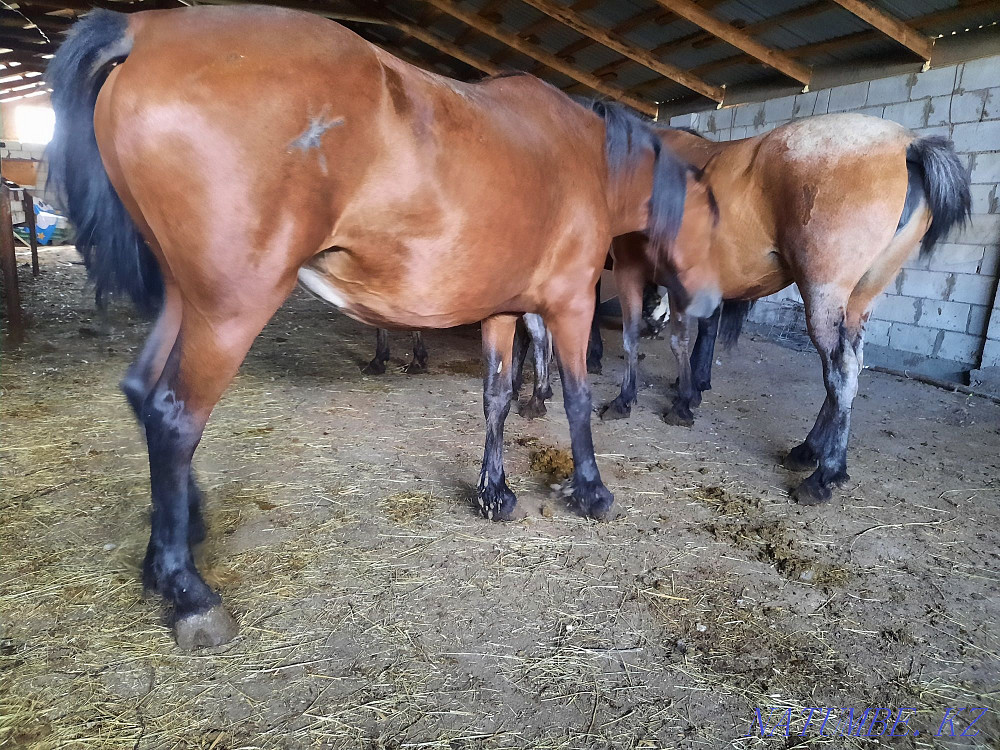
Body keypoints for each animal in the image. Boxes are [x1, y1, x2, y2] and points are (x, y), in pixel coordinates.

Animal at [47, 5, 721, 648]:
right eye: (712, 215)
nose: (703, 305)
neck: (585, 157)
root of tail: (144, 29)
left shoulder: (503, 311)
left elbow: (496, 398)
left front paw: (495, 493)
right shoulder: (571, 306)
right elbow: (578, 400)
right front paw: (590, 490)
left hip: (185, 296)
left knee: (142, 391)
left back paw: (180, 535)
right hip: (229, 310)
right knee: (174, 418)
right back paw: (188, 591)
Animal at [593, 114, 970, 506]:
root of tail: (908, 145)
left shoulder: (630, 269)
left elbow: (638, 338)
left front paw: (631, 400)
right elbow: (681, 339)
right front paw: (685, 397)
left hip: (824, 295)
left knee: (840, 369)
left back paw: (824, 475)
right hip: (859, 300)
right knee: (851, 368)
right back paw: (808, 450)